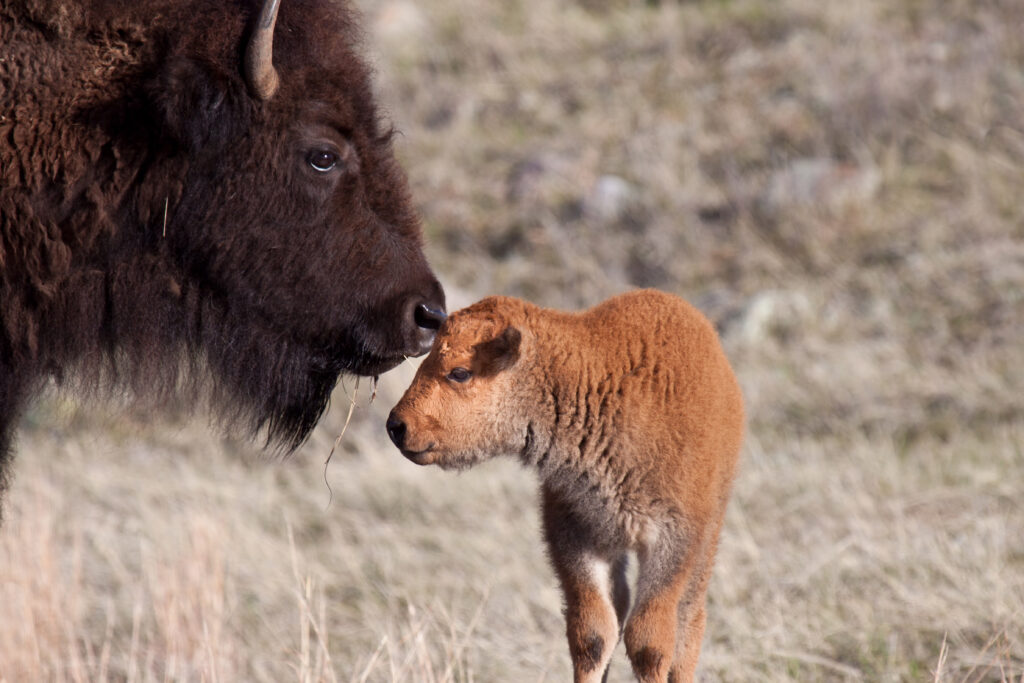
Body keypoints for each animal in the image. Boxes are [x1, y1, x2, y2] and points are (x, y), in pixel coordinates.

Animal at [387, 290, 741, 683]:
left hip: (707, 536)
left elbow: (650, 642)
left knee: (690, 617)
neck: (594, 387)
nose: (397, 426)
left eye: (460, 372)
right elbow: (593, 635)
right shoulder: (577, 537)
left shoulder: (672, 541)